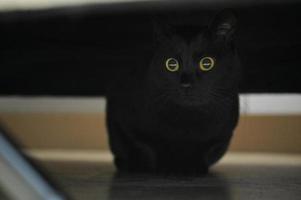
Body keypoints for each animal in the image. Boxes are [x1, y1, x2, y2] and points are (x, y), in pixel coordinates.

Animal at [106, 10, 240, 174]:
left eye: (207, 63)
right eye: (171, 64)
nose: (186, 83)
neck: (188, 117)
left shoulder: (223, 134)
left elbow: (205, 150)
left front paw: (193, 168)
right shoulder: (124, 119)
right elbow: (147, 147)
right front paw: (162, 168)